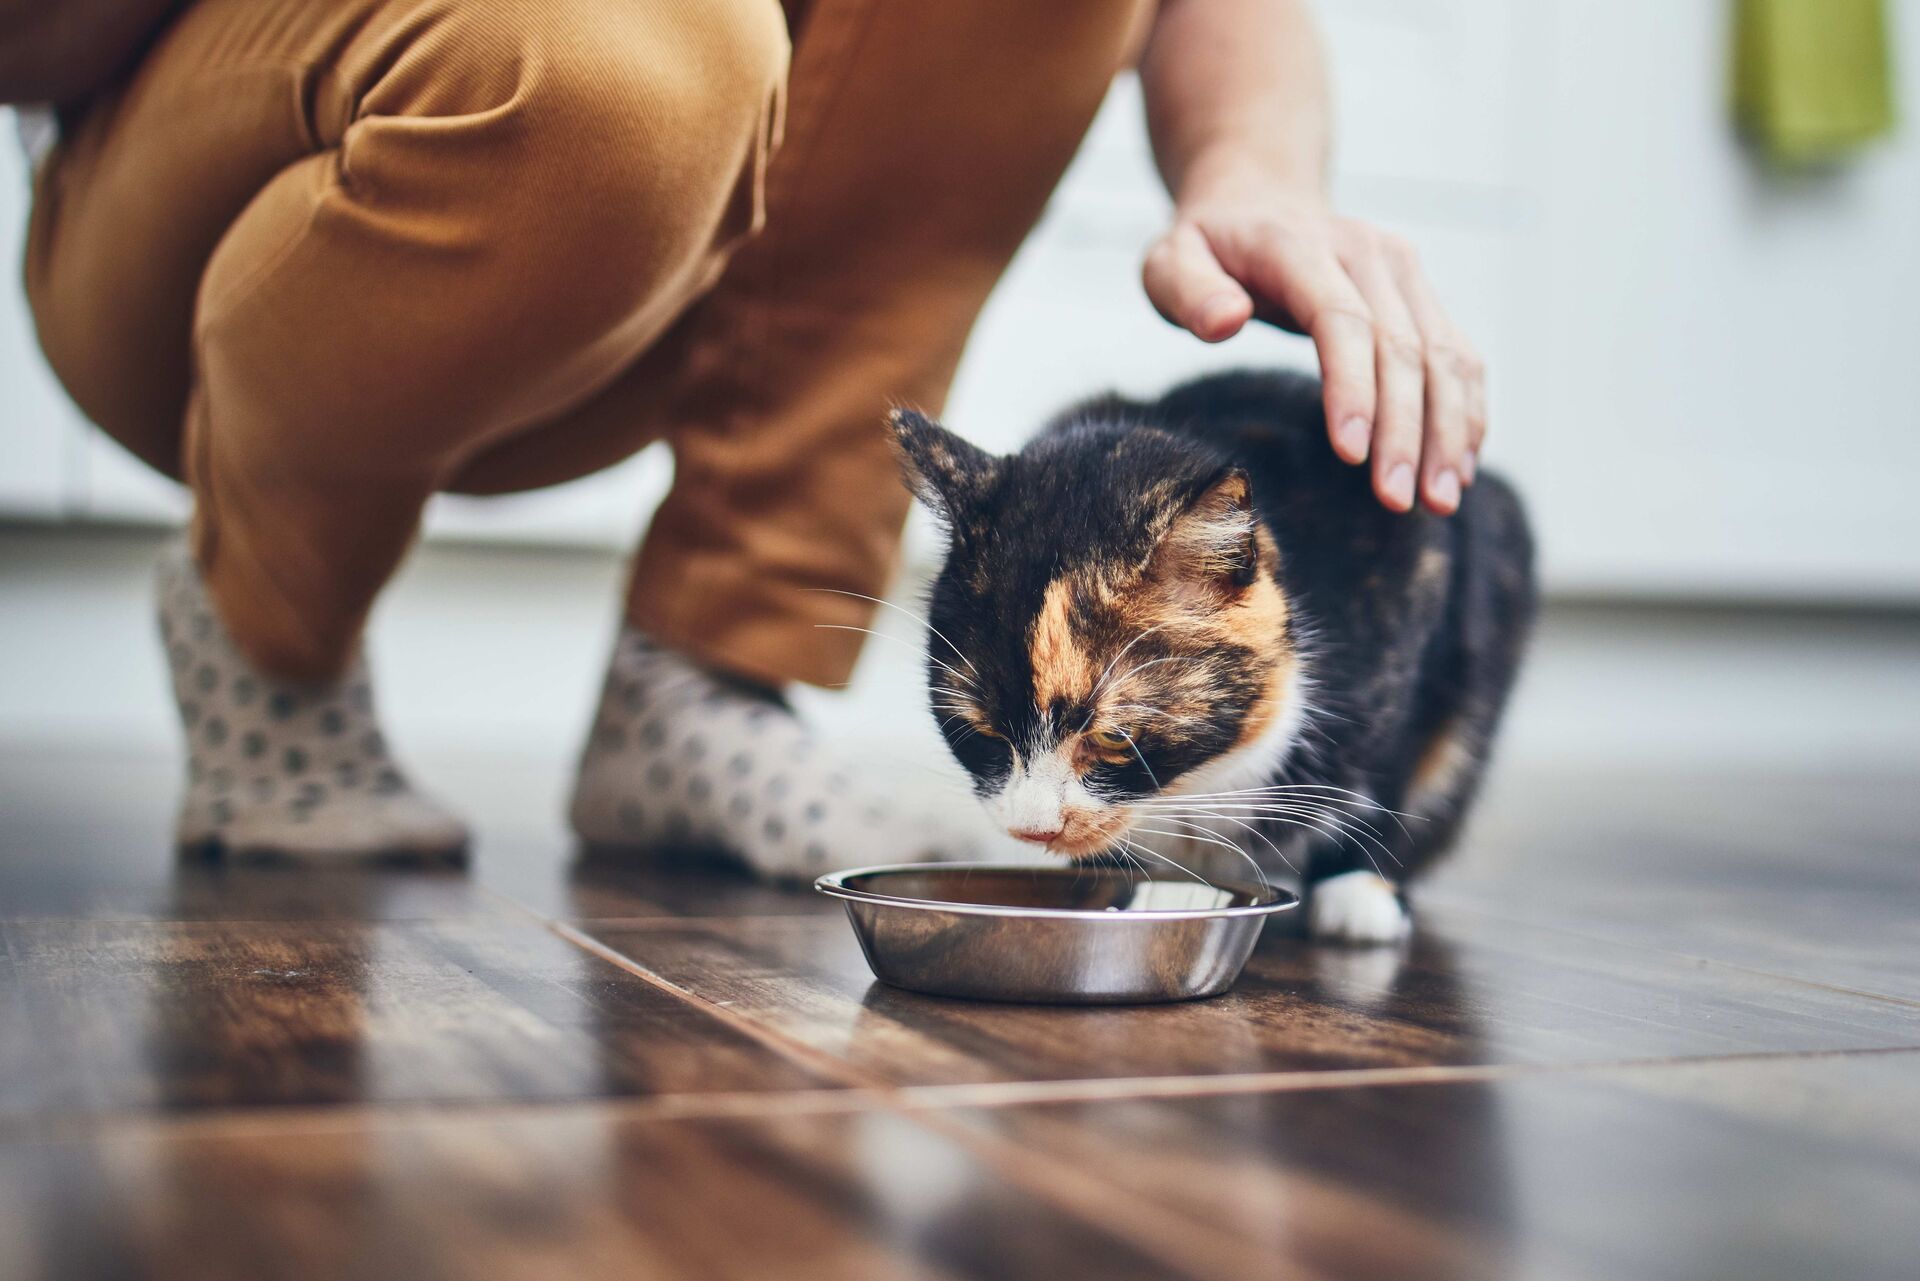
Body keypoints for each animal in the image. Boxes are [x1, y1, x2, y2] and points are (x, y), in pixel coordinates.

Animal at [890, 368, 1536, 941]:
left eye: (1114, 738)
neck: (1195, 785)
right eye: (980, 731)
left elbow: (1387, 768)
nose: (1033, 829)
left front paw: (1359, 888)